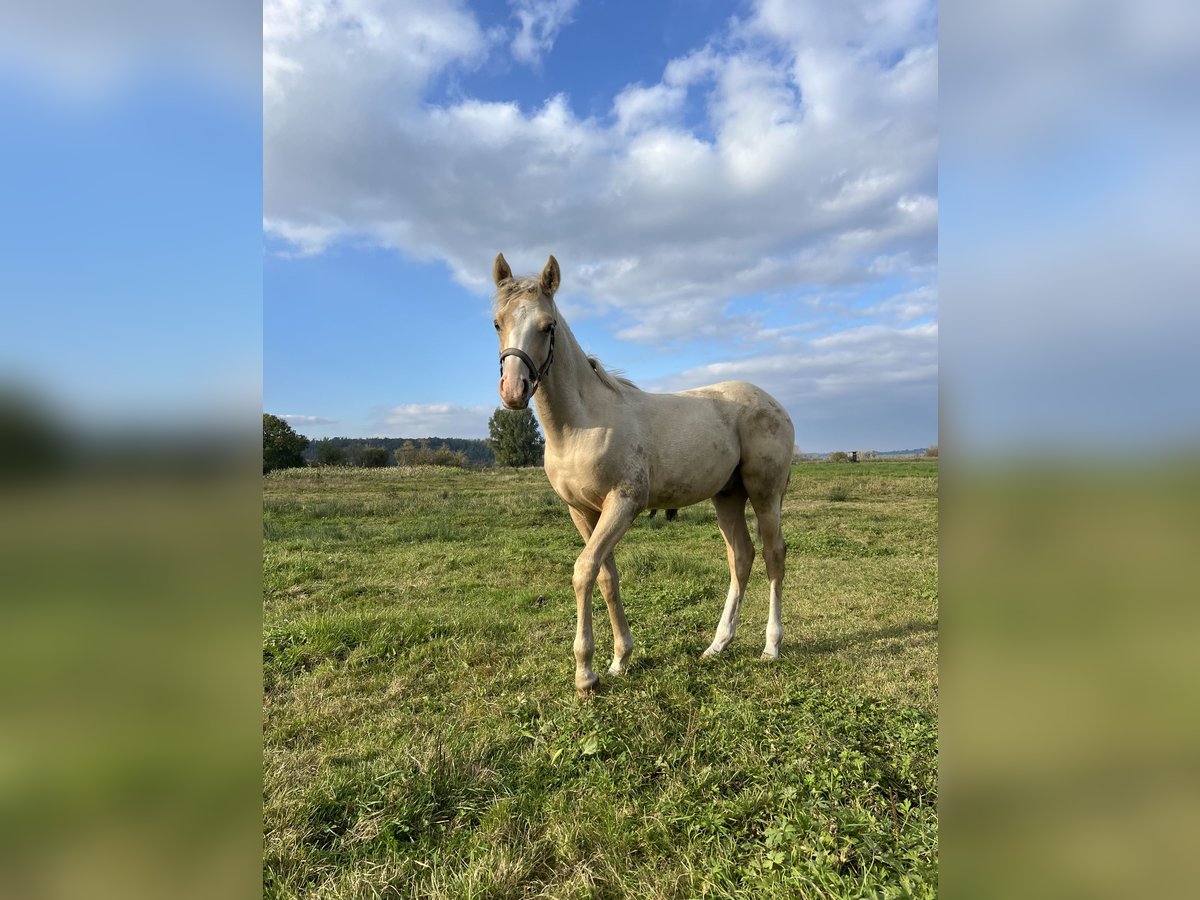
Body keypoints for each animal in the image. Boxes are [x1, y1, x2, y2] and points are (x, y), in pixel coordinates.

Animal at [492, 254, 792, 696]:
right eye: (497, 322)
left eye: (547, 326)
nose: (514, 390)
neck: (581, 424)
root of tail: (776, 403)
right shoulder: (582, 511)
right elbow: (606, 577)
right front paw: (620, 660)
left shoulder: (624, 503)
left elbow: (584, 570)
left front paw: (585, 673)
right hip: (727, 497)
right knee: (741, 557)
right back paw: (718, 644)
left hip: (765, 495)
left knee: (773, 556)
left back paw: (771, 647)